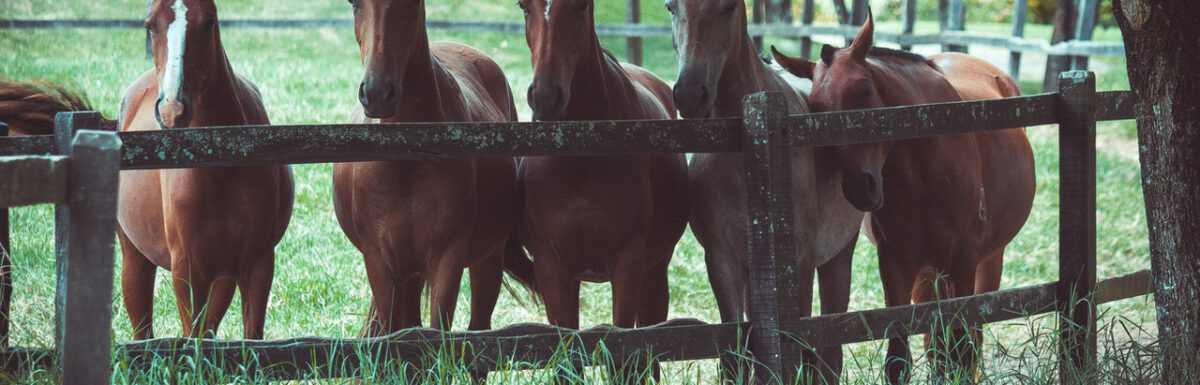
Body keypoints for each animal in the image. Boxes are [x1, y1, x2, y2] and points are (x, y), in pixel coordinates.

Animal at [116, 0, 292, 338]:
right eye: (150, 25)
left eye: (209, 22)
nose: (172, 111)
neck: (222, 158)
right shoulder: (187, 270)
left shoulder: (258, 263)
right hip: (135, 259)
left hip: (222, 276)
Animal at [336, 0, 528, 359]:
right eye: (355, 4)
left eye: (411, 5)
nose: (377, 93)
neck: (409, 157)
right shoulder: (380, 262)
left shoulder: (448, 258)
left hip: (487, 261)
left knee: (479, 331)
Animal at [513, 0, 686, 379]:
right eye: (523, 7)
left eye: (580, 6)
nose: (546, 97)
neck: (582, 153)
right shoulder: (551, 267)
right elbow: (566, 361)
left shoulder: (629, 261)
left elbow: (624, 356)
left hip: (654, 273)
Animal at [667, 0, 864, 381]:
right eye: (671, 8)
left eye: (729, 7)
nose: (690, 94)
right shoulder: (722, 261)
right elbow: (735, 354)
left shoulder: (798, 263)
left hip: (838, 257)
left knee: (830, 349)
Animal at [772, 12, 1036, 383]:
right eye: (816, 109)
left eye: (864, 90)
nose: (860, 187)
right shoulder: (896, 264)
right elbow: (900, 359)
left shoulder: (964, 262)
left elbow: (960, 351)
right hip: (928, 274)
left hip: (987, 261)